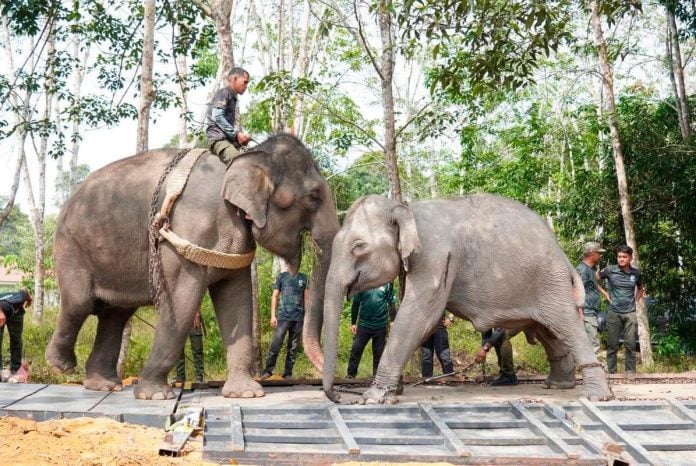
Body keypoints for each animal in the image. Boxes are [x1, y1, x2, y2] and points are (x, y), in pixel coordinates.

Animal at [46, 134, 339, 400]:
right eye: (313, 196)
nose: (332, 391)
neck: (244, 159)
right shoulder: (182, 234)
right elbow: (182, 302)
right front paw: (155, 395)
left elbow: (237, 301)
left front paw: (246, 393)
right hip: (71, 247)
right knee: (80, 303)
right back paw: (61, 365)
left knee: (115, 314)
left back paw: (103, 385)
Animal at [320, 194, 612, 404]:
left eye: (358, 247)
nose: (340, 397)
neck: (404, 207)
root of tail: (562, 253)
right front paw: (395, 392)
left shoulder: (435, 256)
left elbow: (420, 316)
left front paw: (373, 397)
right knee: (549, 332)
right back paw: (558, 384)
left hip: (549, 280)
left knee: (566, 324)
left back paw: (596, 395)